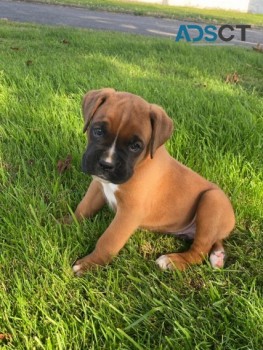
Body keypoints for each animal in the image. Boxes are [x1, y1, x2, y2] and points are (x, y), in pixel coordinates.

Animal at [70, 87, 235, 276]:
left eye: (135, 146)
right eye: (98, 131)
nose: (106, 164)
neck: (139, 164)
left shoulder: (129, 213)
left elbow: (109, 240)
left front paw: (90, 264)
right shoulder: (98, 185)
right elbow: (83, 208)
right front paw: (64, 223)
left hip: (212, 200)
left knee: (199, 251)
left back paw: (172, 261)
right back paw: (218, 255)